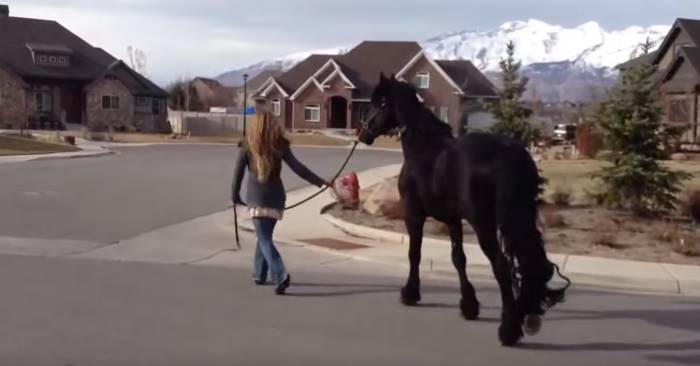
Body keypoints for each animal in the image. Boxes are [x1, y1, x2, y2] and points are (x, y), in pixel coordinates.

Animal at [358, 73, 568, 346]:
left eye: (379, 102)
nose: (363, 133)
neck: (423, 148)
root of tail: (507, 154)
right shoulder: (453, 219)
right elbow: (459, 259)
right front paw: (469, 305)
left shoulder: (413, 214)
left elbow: (415, 253)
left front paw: (410, 293)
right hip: (522, 216)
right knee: (533, 261)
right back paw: (528, 313)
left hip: (484, 222)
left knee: (502, 265)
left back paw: (509, 329)